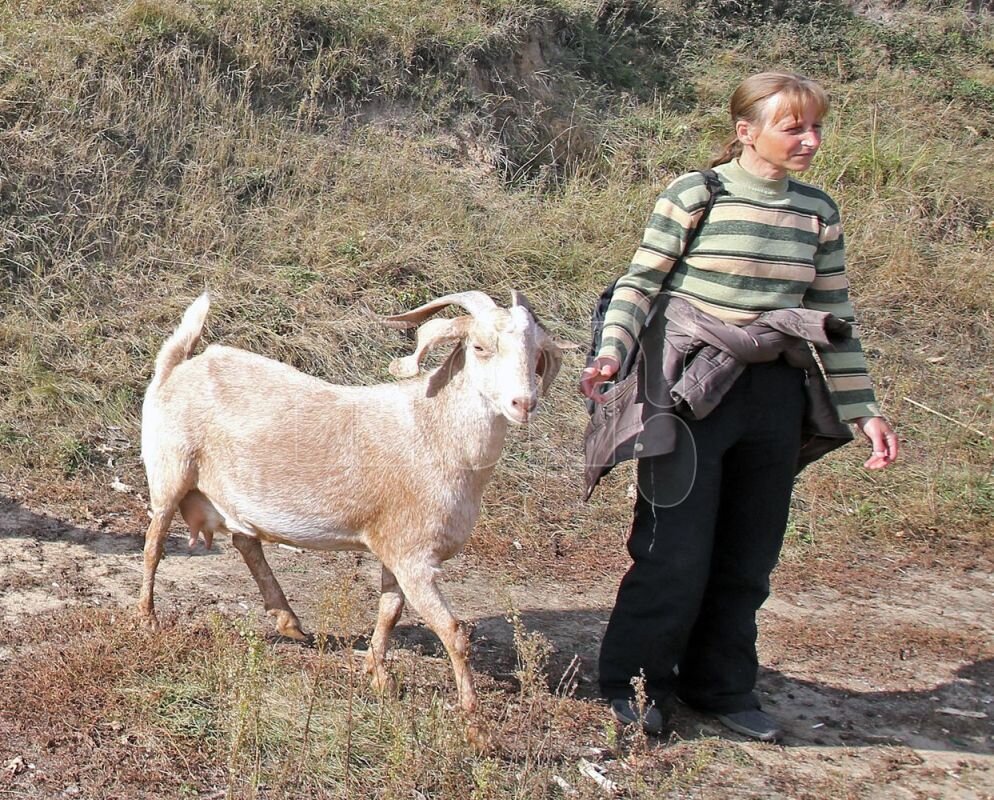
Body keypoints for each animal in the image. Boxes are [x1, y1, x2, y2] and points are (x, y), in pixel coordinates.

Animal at [137, 290, 560, 724]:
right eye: (479, 347)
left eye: (536, 354)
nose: (523, 403)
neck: (435, 429)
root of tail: (179, 364)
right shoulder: (415, 556)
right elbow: (452, 631)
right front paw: (471, 714)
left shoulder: (395, 548)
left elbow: (390, 609)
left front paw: (379, 675)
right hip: (170, 469)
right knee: (154, 544)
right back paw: (148, 618)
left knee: (245, 542)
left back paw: (289, 620)